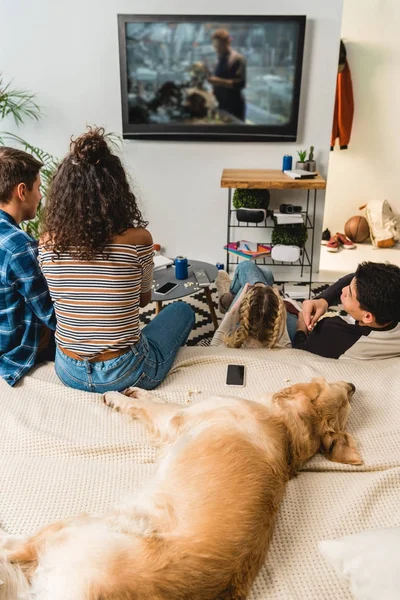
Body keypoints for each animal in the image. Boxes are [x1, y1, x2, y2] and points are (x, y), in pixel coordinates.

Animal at [0, 378, 360, 596]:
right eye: (344, 397)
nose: (354, 385)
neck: (288, 427)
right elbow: (152, 397)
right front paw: (135, 390)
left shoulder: (178, 416)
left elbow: (154, 405)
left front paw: (117, 395)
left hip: (79, 526)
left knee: (17, 547)